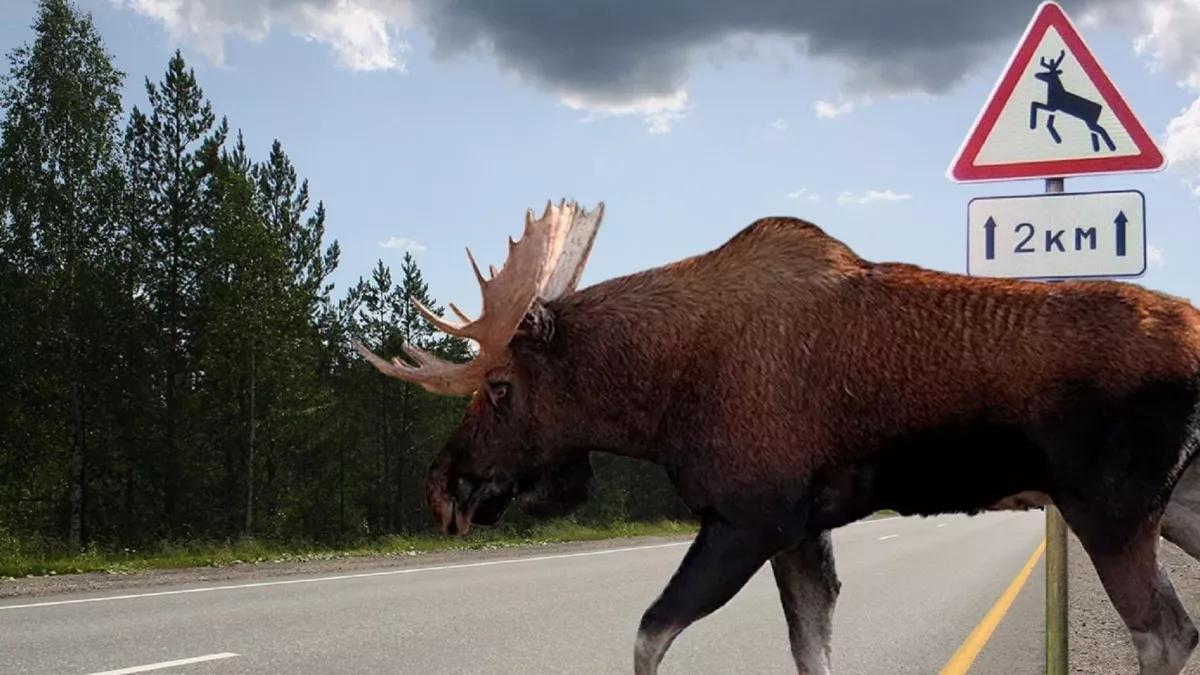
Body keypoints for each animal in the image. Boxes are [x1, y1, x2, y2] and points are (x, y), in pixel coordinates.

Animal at [354, 200, 1200, 675]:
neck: (657, 398)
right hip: (1180, 503)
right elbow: (809, 648)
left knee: (1166, 633)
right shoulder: (800, 532)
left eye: (499, 386)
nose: (443, 486)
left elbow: (648, 636)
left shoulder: (749, 517)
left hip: (1111, 507)